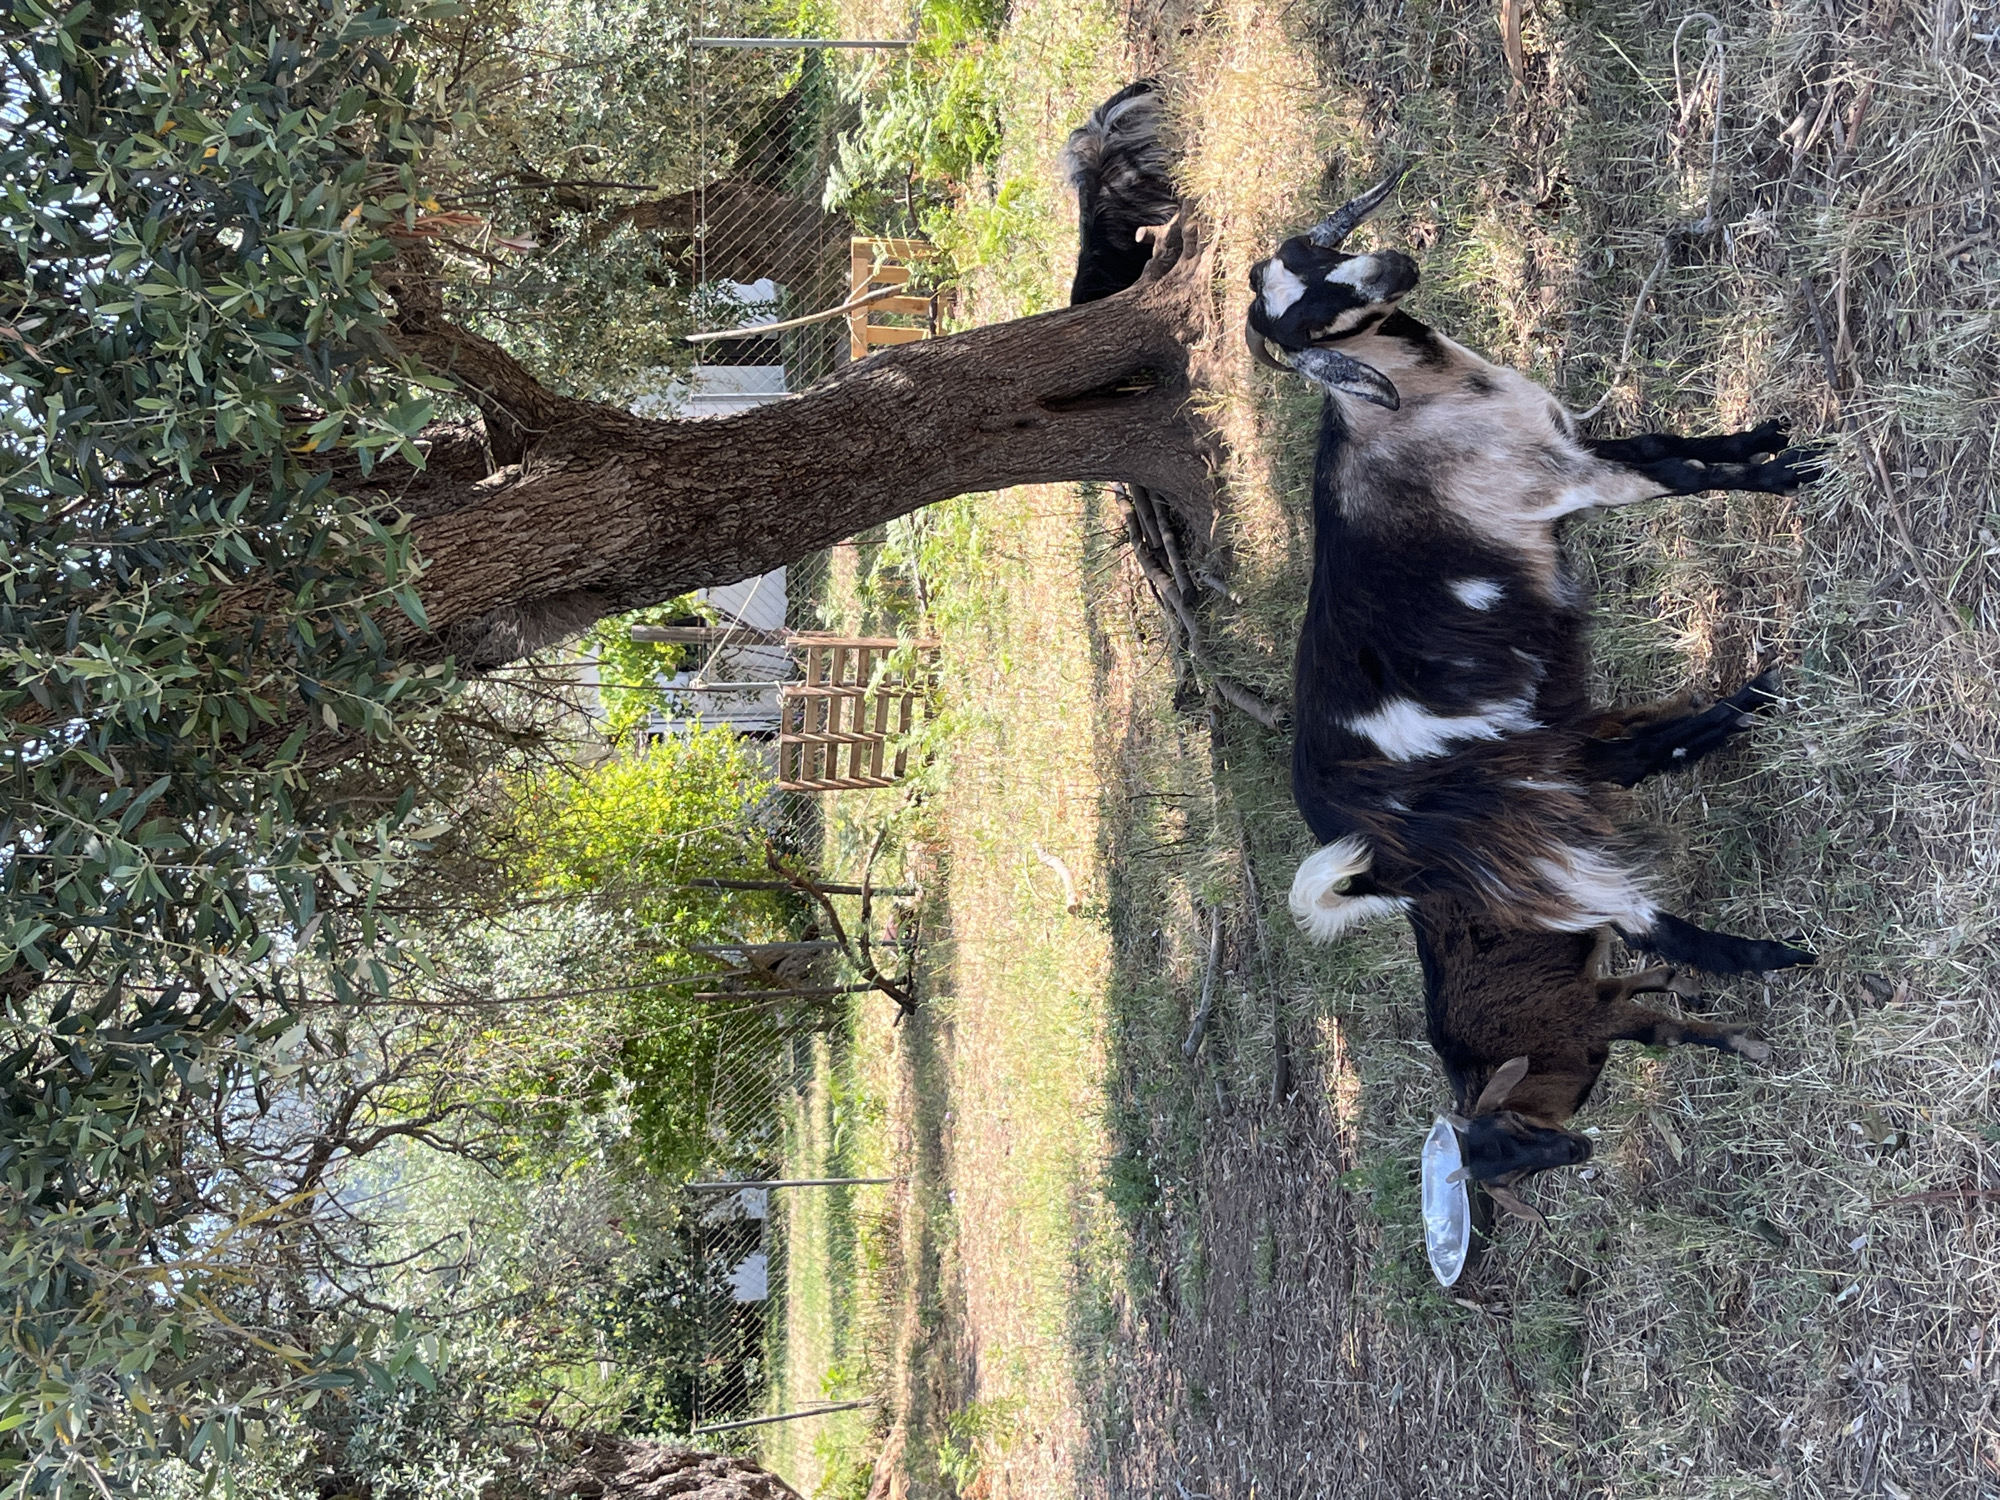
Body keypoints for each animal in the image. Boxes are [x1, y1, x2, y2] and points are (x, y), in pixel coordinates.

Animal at [1258, 174, 1816, 974]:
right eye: (1305, 323)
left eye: (1313, 254)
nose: (1391, 267)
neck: (1418, 405)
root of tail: (1367, 856)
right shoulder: (1563, 482)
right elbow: (1679, 475)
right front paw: (1784, 474)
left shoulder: (1565, 443)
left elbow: (1659, 441)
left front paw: (1760, 437)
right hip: (1505, 820)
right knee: (1633, 917)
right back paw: (1773, 956)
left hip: (1534, 753)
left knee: (1627, 760)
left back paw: (1751, 702)